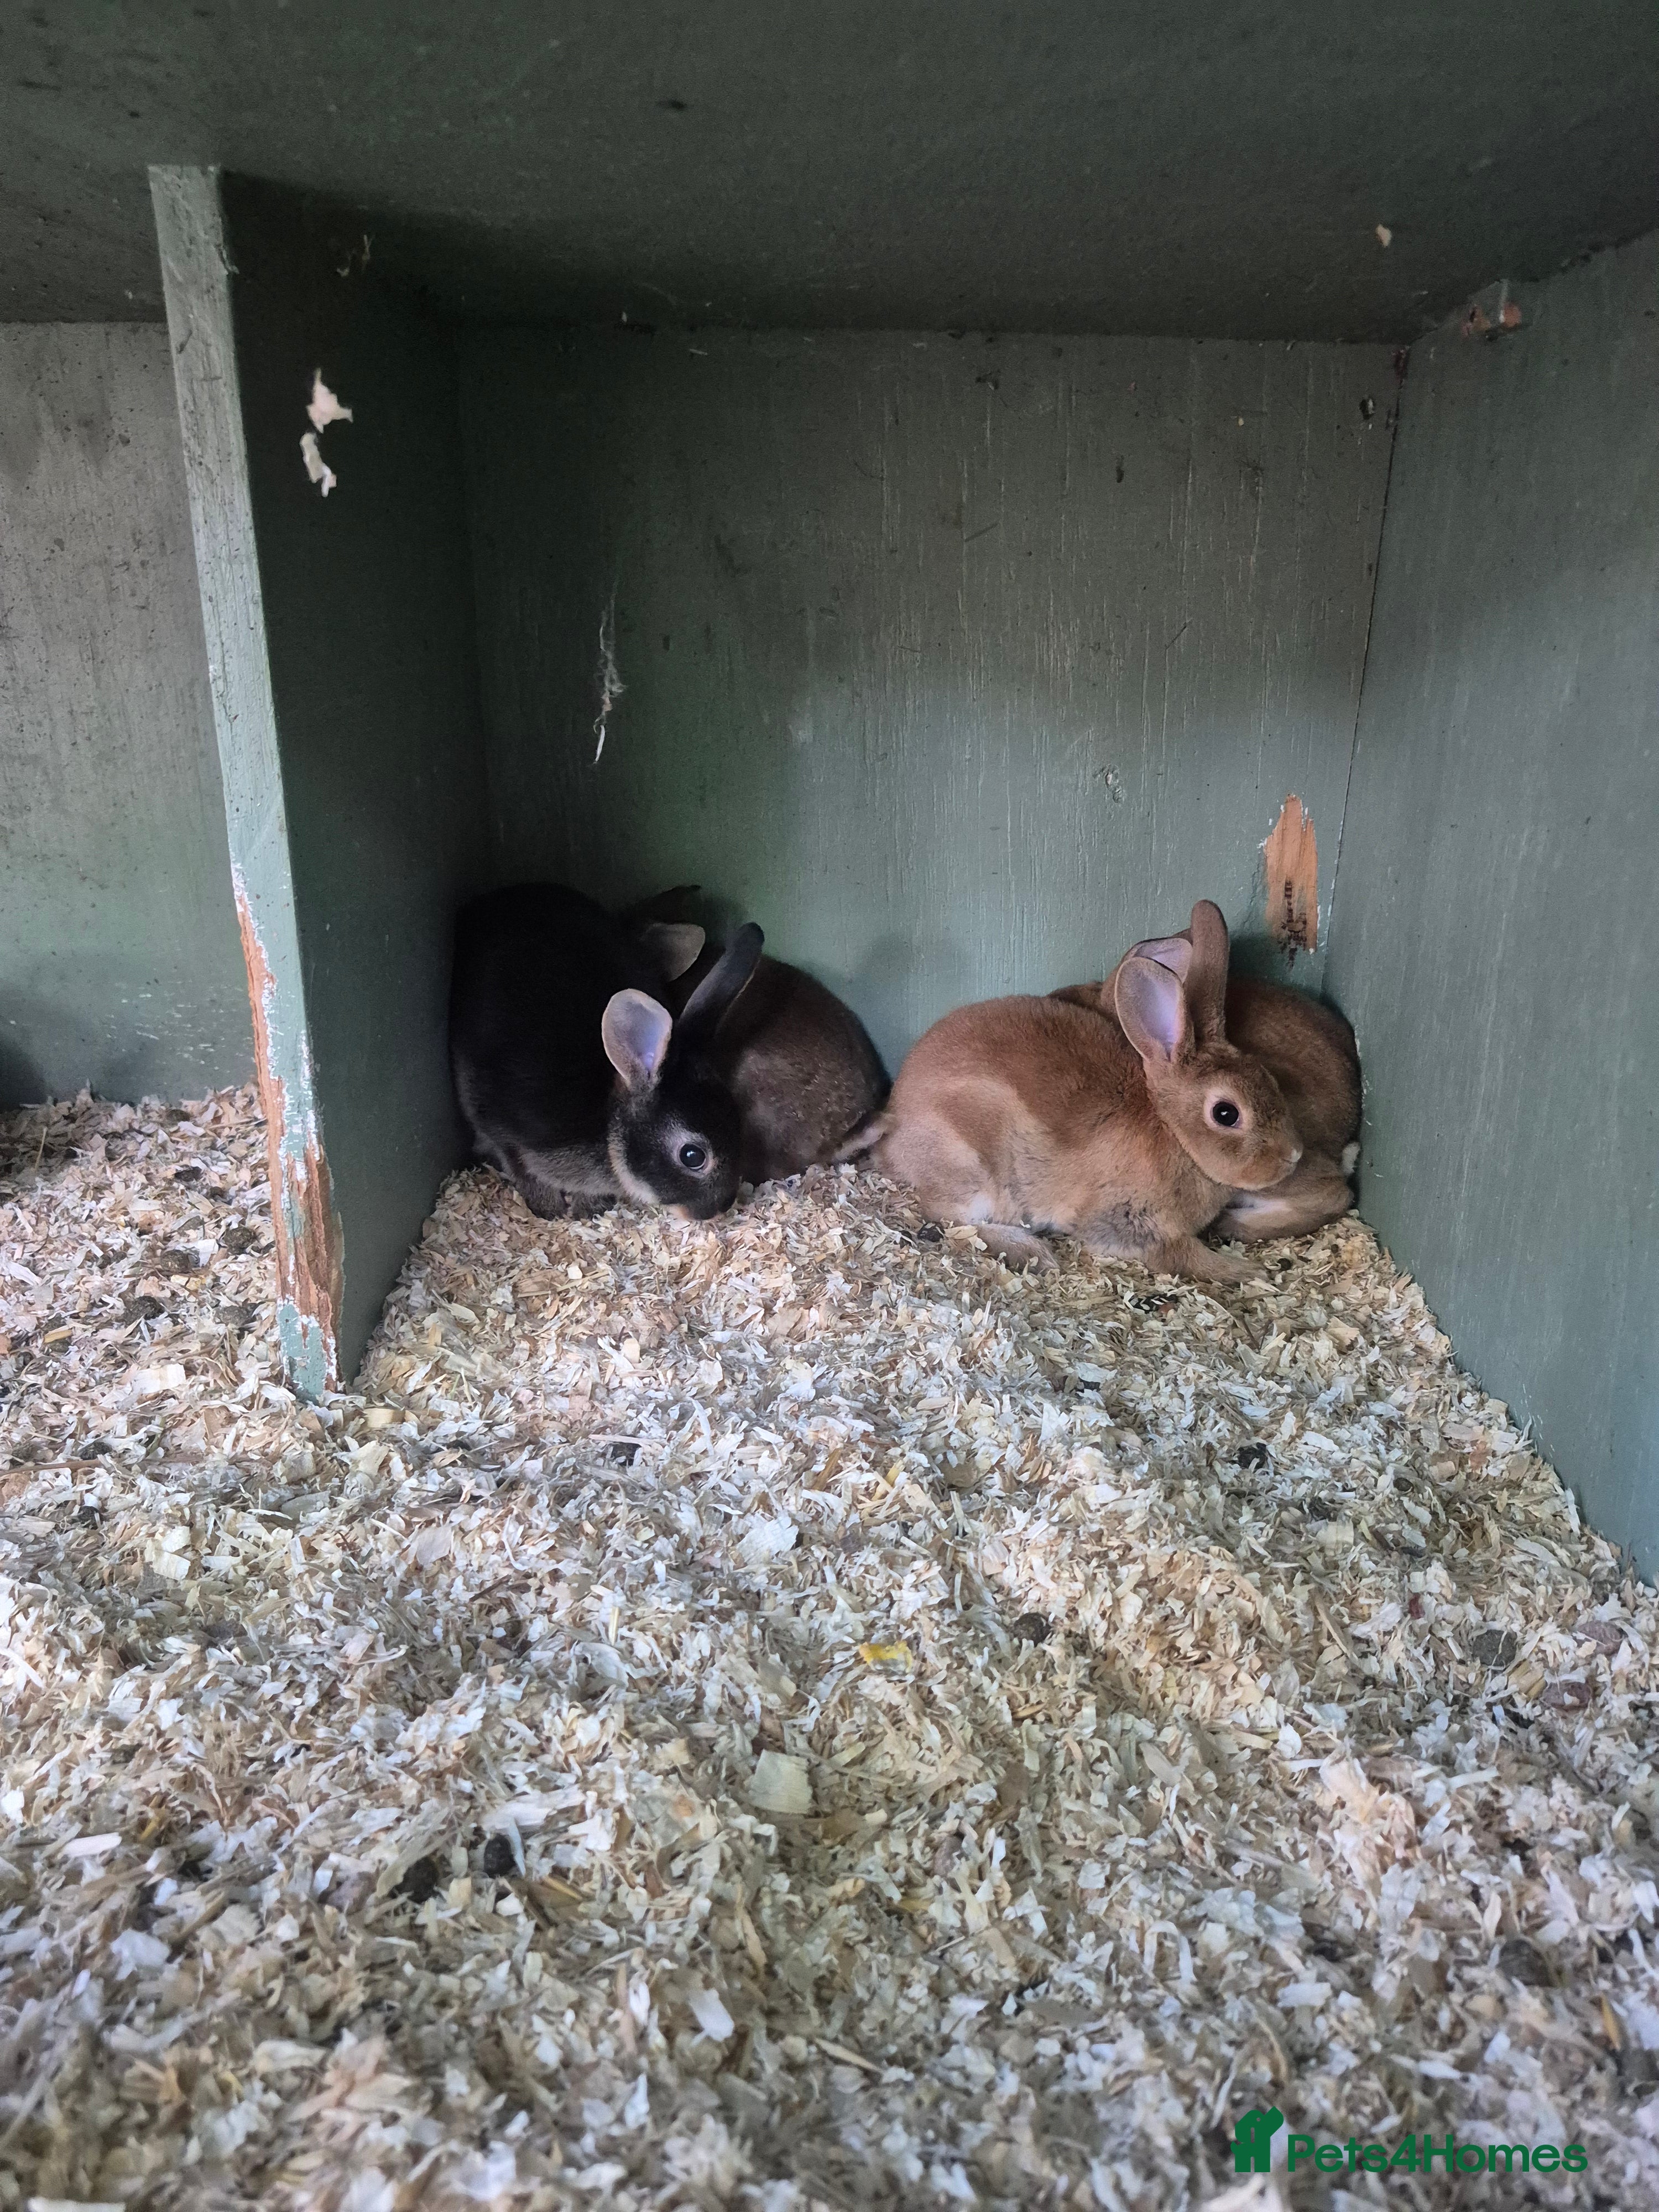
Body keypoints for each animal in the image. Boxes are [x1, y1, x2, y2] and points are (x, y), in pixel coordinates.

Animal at [449, 883, 763, 1221]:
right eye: (693, 1156)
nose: (720, 1207)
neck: (608, 1122)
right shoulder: (501, 1122)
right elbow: (518, 1164)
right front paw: (550, 1210)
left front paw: (589, 1209)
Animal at [871, 900, 1301, 1282]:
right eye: (1226, 1113)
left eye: (1269, 1078)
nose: (1294, 1156)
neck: (1174, 1134)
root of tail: (894, 1125)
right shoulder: (1132, 1221)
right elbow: (1181, 1255)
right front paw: (1246, 1272)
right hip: (973, 1173)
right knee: (952, 1220)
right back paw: (1032, 1252)